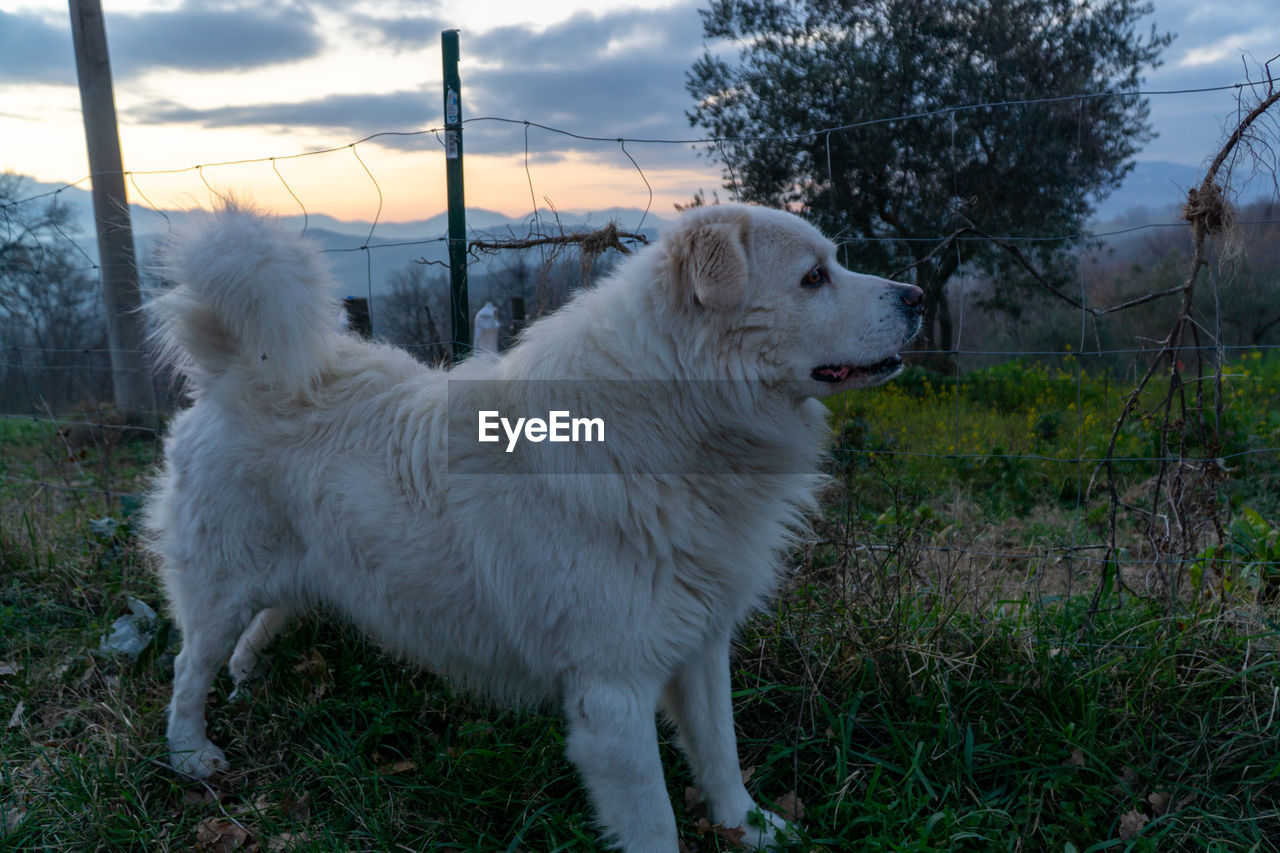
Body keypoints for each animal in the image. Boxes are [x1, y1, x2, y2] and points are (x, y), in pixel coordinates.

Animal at [145, 202, 921, 845]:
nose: (914, 297)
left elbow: (722, 754)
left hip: (297, 571)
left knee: (255, 626)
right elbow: (657, 824)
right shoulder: (612, 696)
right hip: (220, 587)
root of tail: (240, 370)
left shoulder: (700, 643)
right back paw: (190, 754)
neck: (675, 418)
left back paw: (247, 676)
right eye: (814, 277)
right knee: (187, 665)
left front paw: (750, 829)